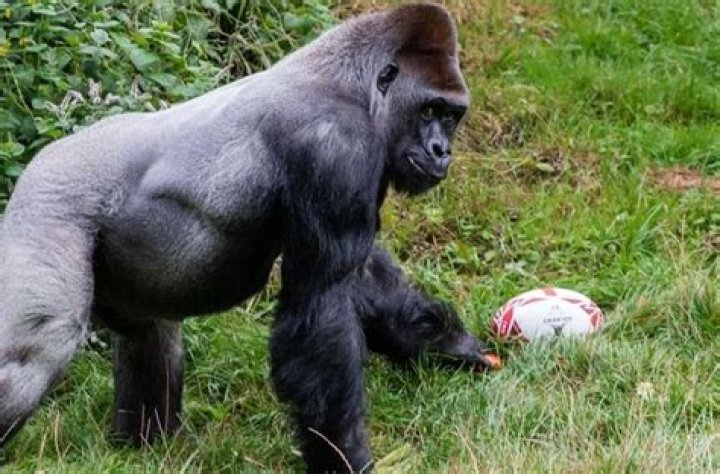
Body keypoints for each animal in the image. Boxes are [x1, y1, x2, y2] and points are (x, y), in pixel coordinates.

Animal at [0, 4, 495, 471]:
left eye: (451, 116)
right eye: (428, 110)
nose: (441, 151)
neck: (352, 81)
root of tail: (36, 166)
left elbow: (364, 278)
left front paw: (450, 347)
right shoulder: (338, 147)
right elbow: (322, 309)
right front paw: (345, 456)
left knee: (150, 332)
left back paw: (143, 447)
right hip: (48, 209)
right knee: (37, 353)